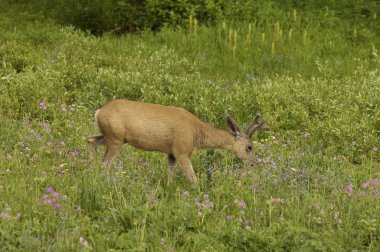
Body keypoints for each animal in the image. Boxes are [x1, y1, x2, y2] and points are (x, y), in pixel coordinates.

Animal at [86, 99, 270, 185]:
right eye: (249, 147)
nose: (253, 164)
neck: (197, 133)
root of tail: (99, 111)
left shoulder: (171, 153)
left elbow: (170, 177)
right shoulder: (181, 150)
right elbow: (193, 179)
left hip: (111, 137)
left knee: (90, 140)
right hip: (115, 139)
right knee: (105, 162)